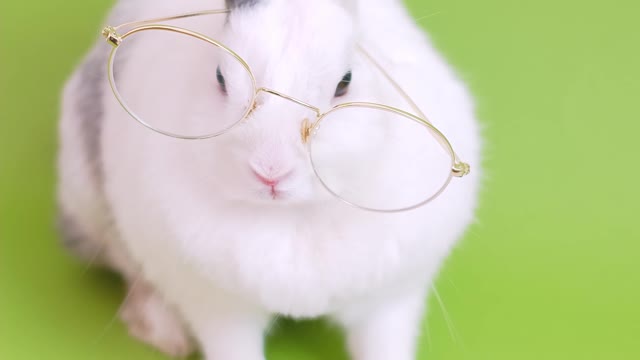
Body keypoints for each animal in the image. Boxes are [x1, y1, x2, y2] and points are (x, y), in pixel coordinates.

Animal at [58, 0, 480, 358]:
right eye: (220, 78)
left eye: (345, 83)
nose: (270, 171)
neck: (291, 216)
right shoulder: (218, 309)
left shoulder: (389, 303)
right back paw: (166, 334)